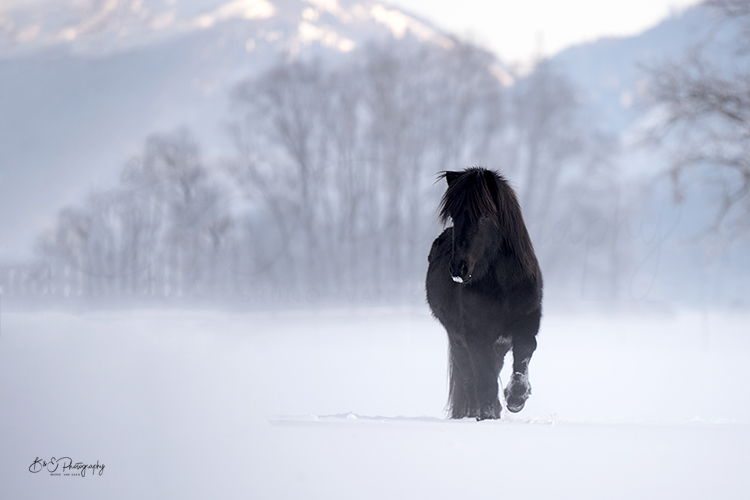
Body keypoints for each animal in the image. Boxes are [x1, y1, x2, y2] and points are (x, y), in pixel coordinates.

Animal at [426, 167, 544, 418]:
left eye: (484, 217)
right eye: (454, 216)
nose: (458, 268)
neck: (504, 287)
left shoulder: (527, 323)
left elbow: (525, 351)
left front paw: (516, 398)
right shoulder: (476, 336)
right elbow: (484, 381)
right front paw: (489, 414)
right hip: (458, 338)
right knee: (469, 377)